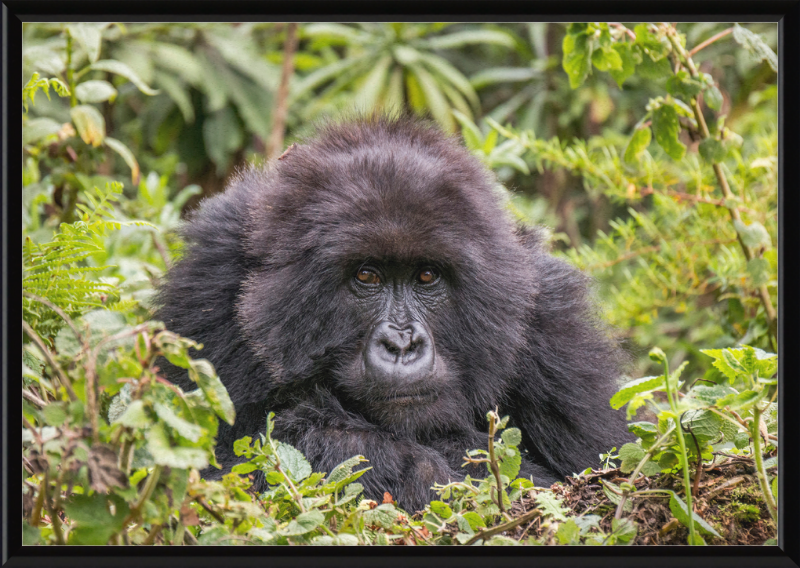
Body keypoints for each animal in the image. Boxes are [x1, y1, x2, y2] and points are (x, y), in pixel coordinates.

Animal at [155, 114, 632, 510]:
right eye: (367, 276)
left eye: (426, 276)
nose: (402, 343)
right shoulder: (208, 289)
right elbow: (210, 474)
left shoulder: (553, 324)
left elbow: (603, 471)